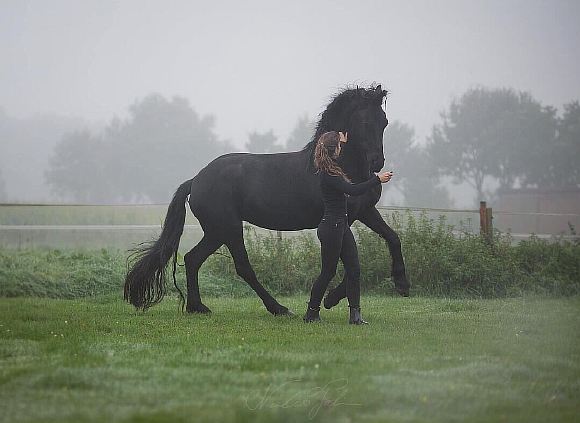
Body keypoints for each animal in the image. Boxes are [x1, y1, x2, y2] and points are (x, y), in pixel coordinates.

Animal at [124, 84, 410, 316]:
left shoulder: (365, 212)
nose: (377, 163)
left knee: (193, 259)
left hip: (216, 231)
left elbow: (392, 237)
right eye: (363, 121)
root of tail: (196, 180)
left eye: (383, 121)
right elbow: (348, 261)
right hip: (228, 228)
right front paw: (331, 299)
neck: (341, 166)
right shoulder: (344, 220)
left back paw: (199, 307)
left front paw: (402, 284)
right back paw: (279, 308)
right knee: (242, 267)